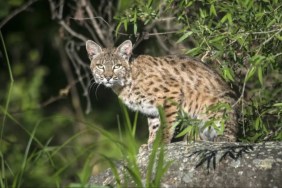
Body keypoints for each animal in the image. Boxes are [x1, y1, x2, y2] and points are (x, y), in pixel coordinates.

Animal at [86, 40, 238, 144]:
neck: (124, 82)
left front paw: (162, 142)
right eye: (100, 66)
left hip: (216, 107)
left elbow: (167, 120)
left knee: (231, 135)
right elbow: (154, 125)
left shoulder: (172, 90)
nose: (108, 77)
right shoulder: (150, 107)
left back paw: (221, 138)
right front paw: (150, 145)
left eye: (117, 66)